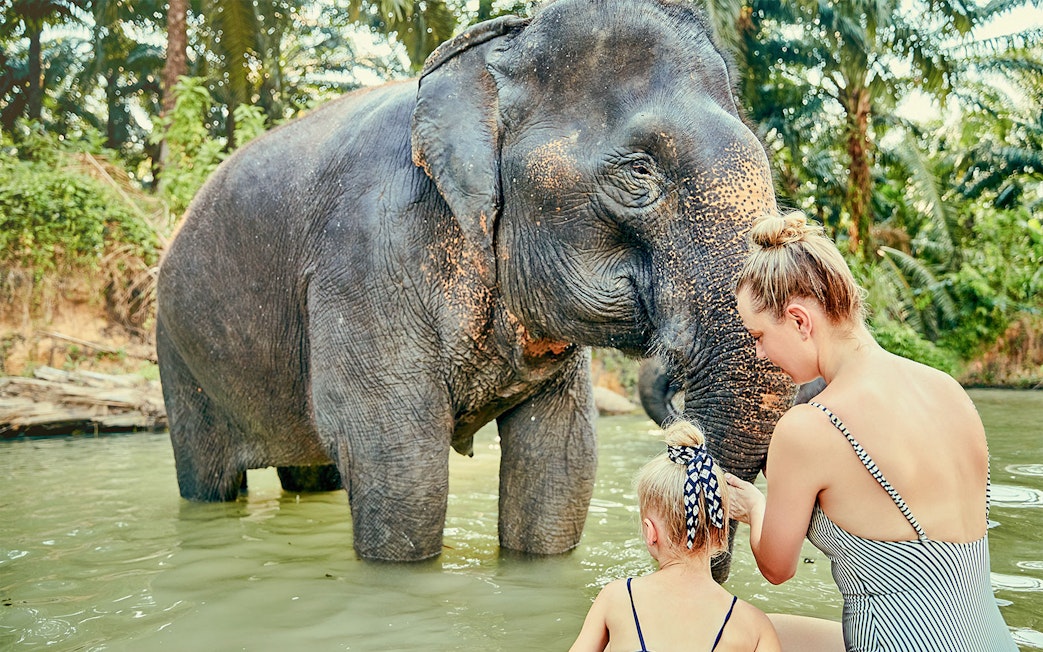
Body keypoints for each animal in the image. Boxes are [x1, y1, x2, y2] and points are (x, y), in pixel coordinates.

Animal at [155, 0, 794, 567]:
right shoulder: (365, 257)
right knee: (208, 476)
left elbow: (561, 464)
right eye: (640, 171)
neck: (499, 43)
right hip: (179, 354)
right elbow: (401, 464)